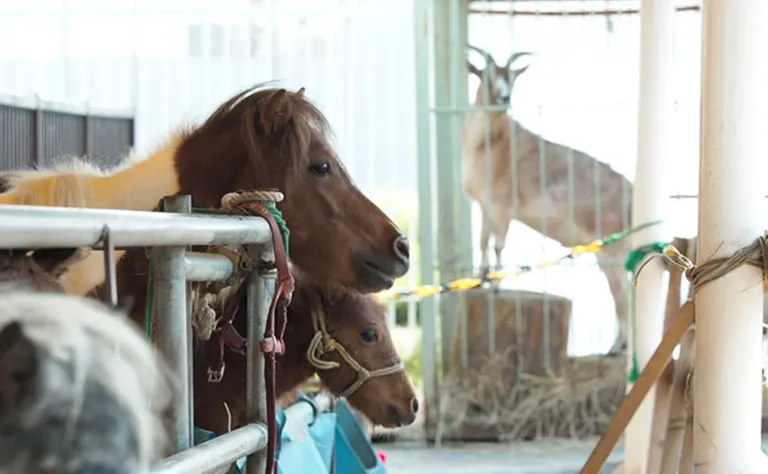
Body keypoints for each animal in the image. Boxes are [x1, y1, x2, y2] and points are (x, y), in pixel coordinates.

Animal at [460, 44, 632, 354]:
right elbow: (482, 240)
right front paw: (480, 280)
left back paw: (616, 347)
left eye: (512, 77)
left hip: (614, 250)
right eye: (487, 75)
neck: (491, 144)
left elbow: (498, 244)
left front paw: (496, 287)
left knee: (623, 296)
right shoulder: (485, 206)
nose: (504, 97)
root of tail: (634, 195)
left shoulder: (503, 207)